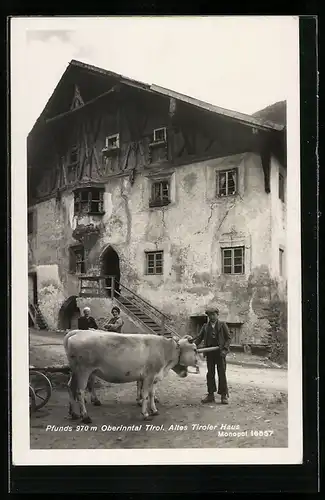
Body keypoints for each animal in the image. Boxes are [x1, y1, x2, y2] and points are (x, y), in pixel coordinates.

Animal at [62, 332, 196, 422]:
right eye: (195, 349)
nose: (196, 363)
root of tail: (77, 332)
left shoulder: (154, 378)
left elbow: (152, 394)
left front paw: (154, 410)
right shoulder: (149, 376)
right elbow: (145, 394)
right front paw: (145, 414)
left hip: (75, 371)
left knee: (70, 387)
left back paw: (74, 413)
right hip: (83, 370)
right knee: (80, 391)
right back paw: (85, 416)